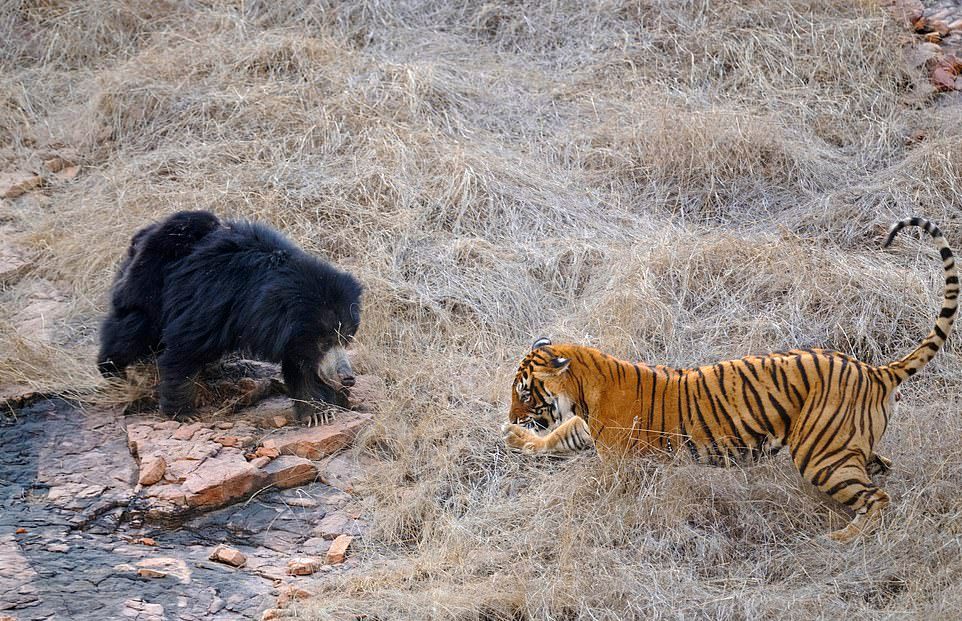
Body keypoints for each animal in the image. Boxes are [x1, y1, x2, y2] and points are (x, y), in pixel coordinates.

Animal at [502, 218, 952, 544]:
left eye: (525, 393)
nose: (511, 416)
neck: (585, 389)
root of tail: (874, 370)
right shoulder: (585, 427)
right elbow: (559, 436)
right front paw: (517, 438)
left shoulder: (620, 460)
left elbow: (599, 485)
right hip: (845, 446)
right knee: (881, 469)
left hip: (821, 454)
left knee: (877, 497)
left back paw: (843, 537)